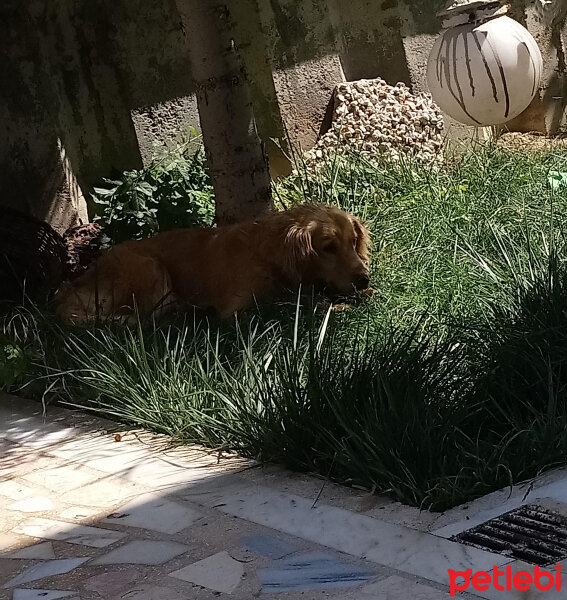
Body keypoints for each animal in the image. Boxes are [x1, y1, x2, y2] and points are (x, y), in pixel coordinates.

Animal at [55, 205, 370, 324]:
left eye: (354, 241)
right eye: (328, 248)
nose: (364, 278)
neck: (268, 256)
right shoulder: (239, 308)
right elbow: (295, 301)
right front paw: (335, 306)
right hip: (149, 268)